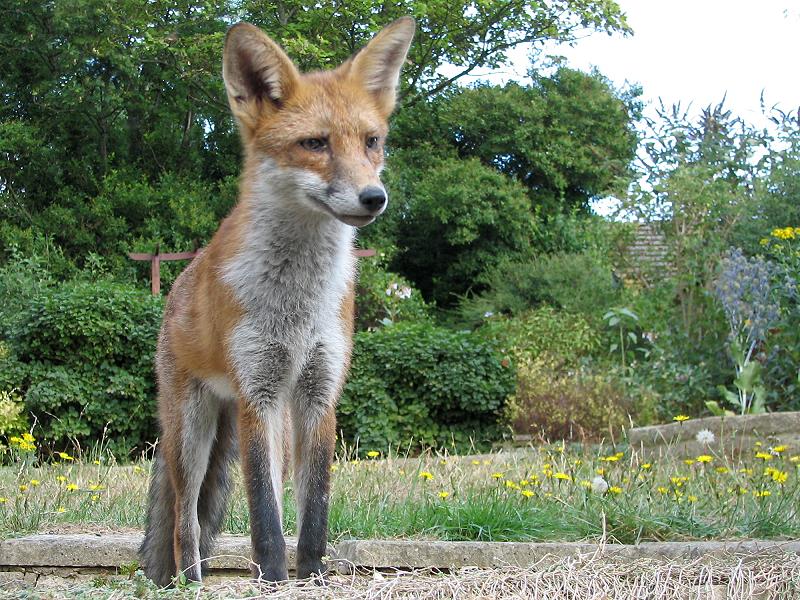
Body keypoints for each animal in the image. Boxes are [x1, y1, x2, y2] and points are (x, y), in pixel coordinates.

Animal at [138, 17, 416, 584]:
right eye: (314, 143)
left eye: (372, 142)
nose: (374, 198)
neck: (296, 305)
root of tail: (175, 286)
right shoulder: (256, 392)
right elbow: (262, 512)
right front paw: (271, 575)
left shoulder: (319, 392)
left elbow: (314, 509)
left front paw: (310, 573)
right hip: (191, 434)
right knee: (184, 519)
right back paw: (189, 581)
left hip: (277, 429)